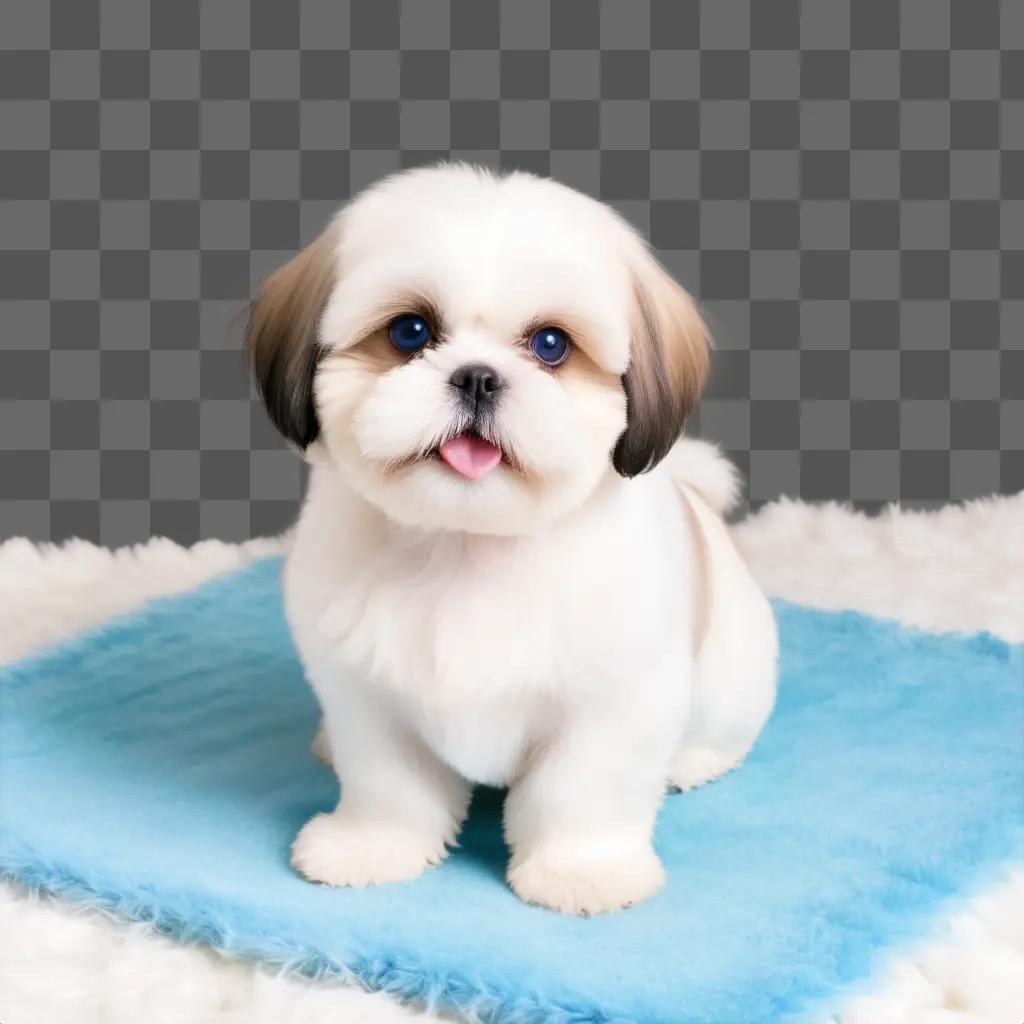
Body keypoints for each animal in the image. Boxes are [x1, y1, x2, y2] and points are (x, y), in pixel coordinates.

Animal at [247, 163, 774, 917]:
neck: (470, 546)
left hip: (732, 677)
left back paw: (691, 761)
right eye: (409, 332)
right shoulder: (366, 692)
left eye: (551, 344)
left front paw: (582, 871)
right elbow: (389, 783)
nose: (476, 376)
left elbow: (579, 789)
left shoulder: (611, 701)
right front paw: (371, 848)